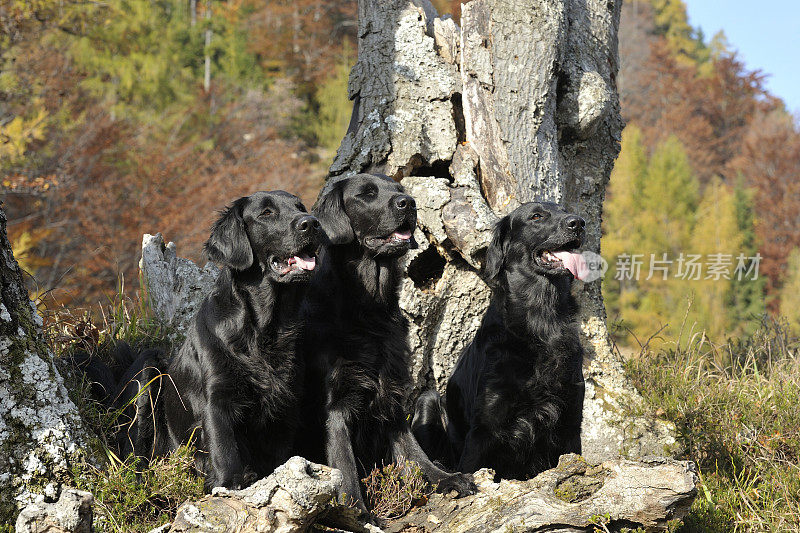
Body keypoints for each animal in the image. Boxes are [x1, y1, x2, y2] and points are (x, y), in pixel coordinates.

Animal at [298, 171, 476, 512]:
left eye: (399, 190)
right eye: (366, 194)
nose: (409, 203)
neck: (368, 310)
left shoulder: (391, 392)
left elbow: (414, 453)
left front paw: (446, 479)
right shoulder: (335, 407)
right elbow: (345, 468)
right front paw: (358, 512)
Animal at [412, 202, 588, 480]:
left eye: (564, 210)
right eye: (536, 216)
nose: (578, 223)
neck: (542, 318)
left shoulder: (570, 419)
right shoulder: (485, 426)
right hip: (427, 401)